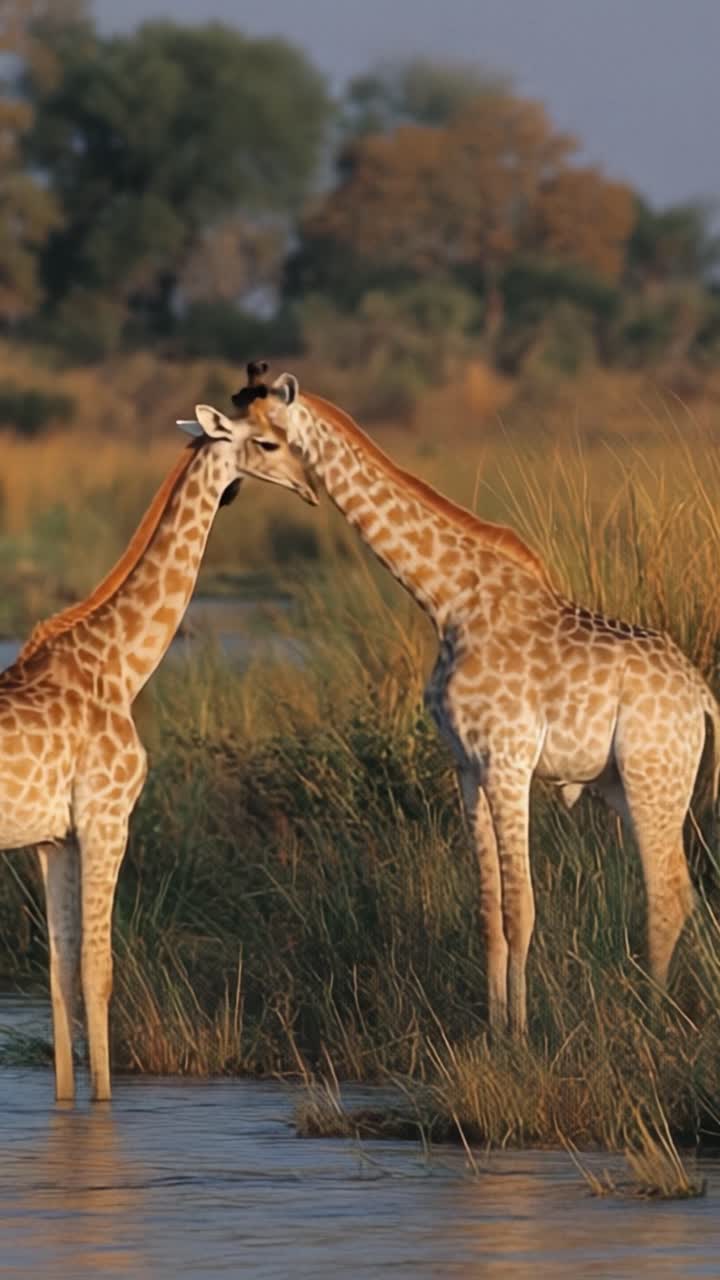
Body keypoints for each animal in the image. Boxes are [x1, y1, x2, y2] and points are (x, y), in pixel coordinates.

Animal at [0, 377, 315, 1101]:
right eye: (268, 441)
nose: (312, 486)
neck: (120, 665)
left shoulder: (53, 838)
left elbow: (59, 976)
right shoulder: (108, 817)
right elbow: (98, 971)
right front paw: (104, 1108)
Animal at [233, 365, 720, 1038]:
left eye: (266, 439)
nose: (219, 472)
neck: (450, 603)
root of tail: (701, 697)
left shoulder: (508, 761)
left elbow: (522, 907)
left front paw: (521, 1036)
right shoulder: (465, 765)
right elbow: (489, 908)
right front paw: (491, 1030)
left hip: (655, 776)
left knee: (668, 890)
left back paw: (651, 1015)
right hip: (626, 785)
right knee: (680, 888)